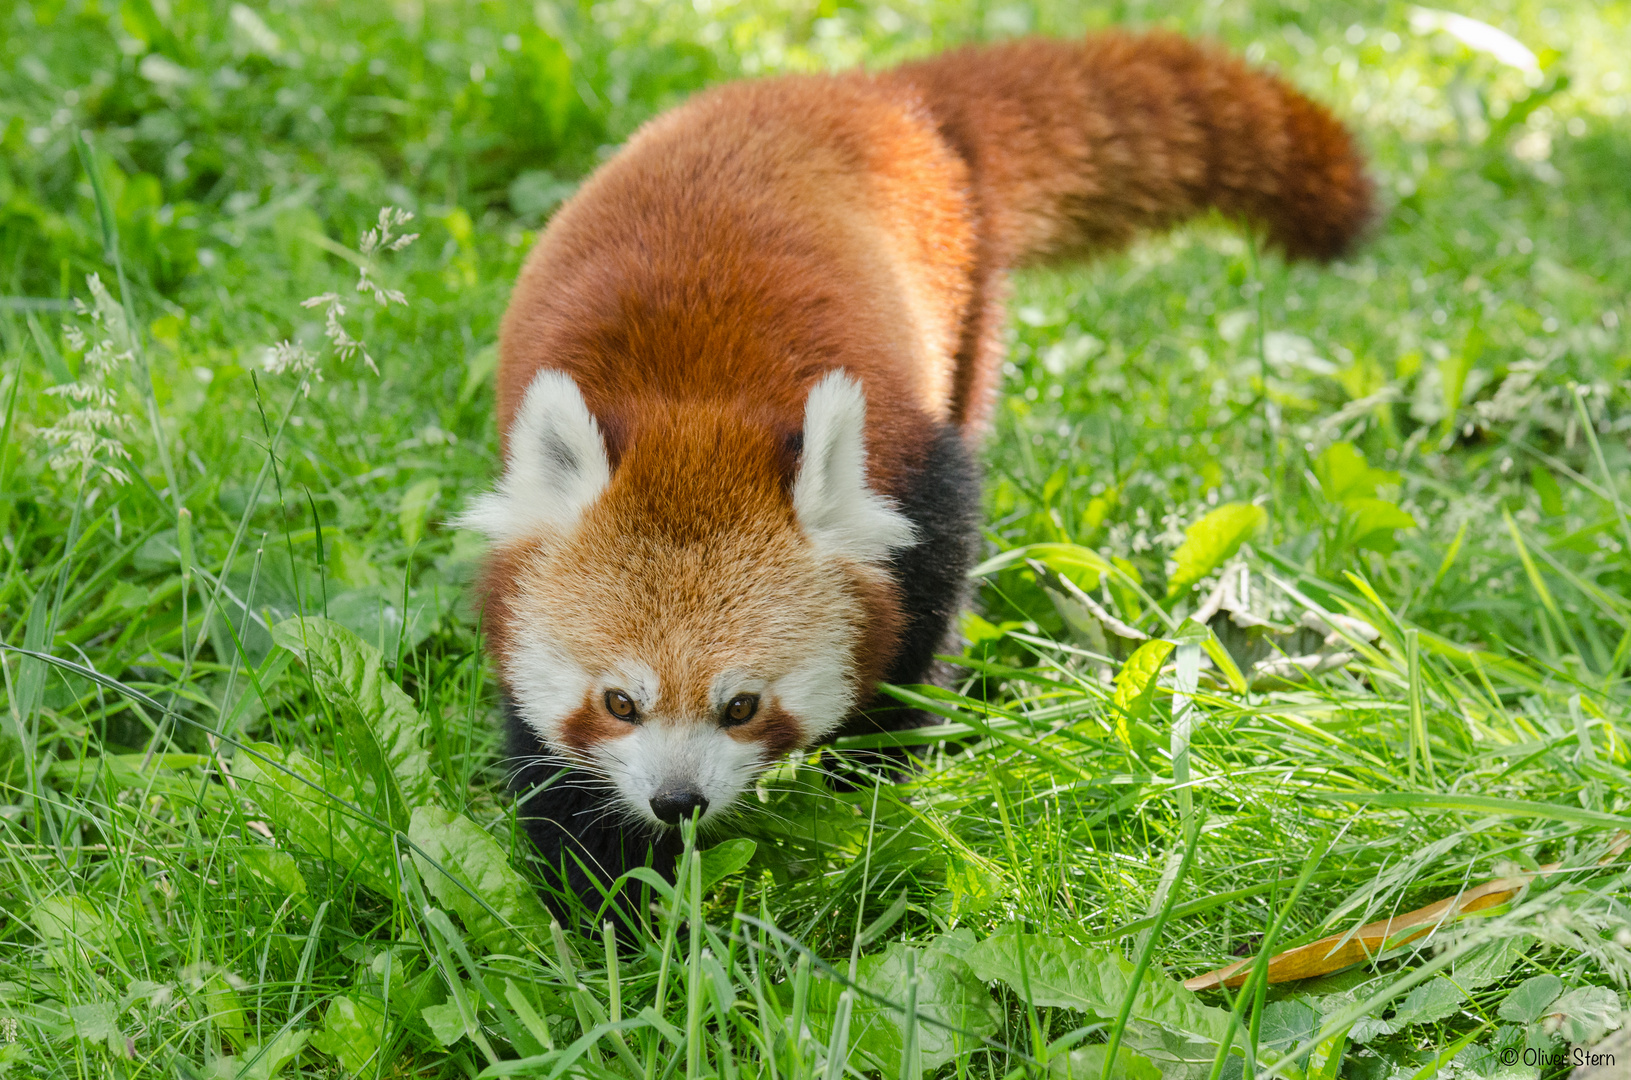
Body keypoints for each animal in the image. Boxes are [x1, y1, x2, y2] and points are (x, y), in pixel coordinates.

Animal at [463, 31, 1376, 907]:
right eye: (620, 702)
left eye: (742, 705)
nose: (676, 800)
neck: (694, 410)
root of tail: (878, 95)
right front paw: (609, 898)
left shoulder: (912, 465)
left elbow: (924, 611)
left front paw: (873, 773)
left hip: (966, 305)